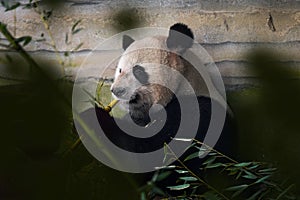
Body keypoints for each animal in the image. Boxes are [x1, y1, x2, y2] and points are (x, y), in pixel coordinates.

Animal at [80, 23, 237, 197]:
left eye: (138, 71)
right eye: (120, 70)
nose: (117, 91)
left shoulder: (196, 116)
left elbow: (148, 157)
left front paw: (93, 118)